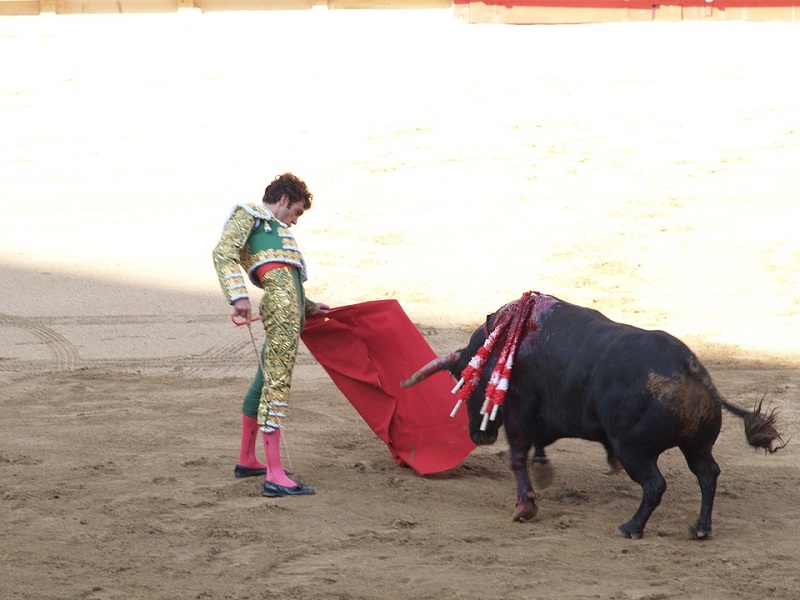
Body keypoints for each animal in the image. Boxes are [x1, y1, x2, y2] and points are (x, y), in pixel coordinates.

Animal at [400, 294, 780, 540]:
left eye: (466, 381)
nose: (479, 435)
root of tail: (692, 370)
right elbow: (536, 448)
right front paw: (543, 471)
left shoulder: (518, 412)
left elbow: (517, 457)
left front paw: (525, 506)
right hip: (696, 446)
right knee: (707, 474)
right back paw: (700, 529)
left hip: (635, 451)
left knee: (655, 484)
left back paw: (631, 528)